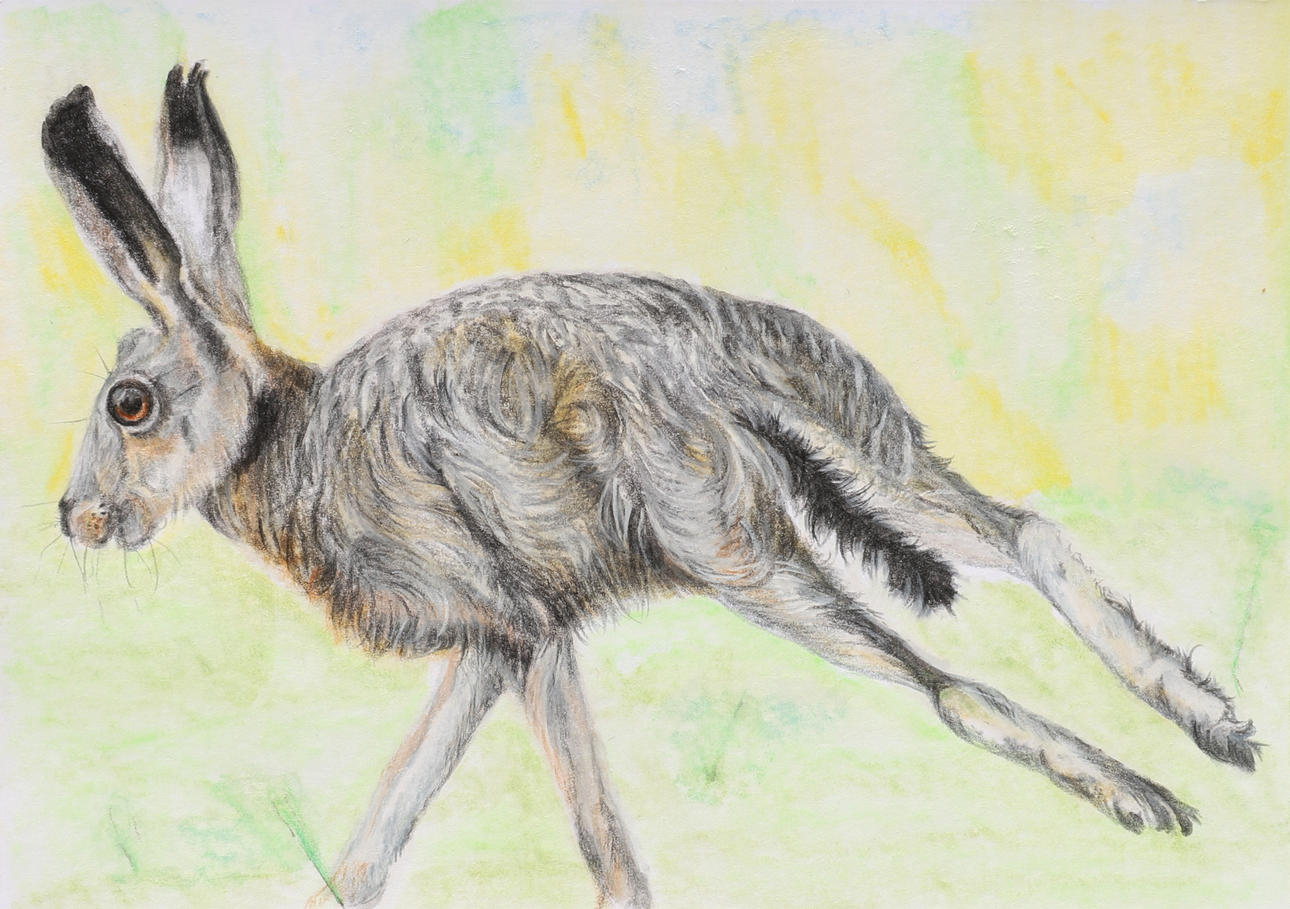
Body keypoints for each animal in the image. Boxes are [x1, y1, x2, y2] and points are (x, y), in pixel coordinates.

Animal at [45, 64, 1259, 909]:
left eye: (130, 404)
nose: (74, 517)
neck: (272, 436)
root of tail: (717, 367)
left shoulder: (521, 629)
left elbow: (591, 825)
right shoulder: (495, 645)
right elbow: (395, 810)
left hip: (732, 549)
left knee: (947, 686)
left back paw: (1146, 797)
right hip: (875, 458)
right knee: (1024, 535)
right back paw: (1217, 726)